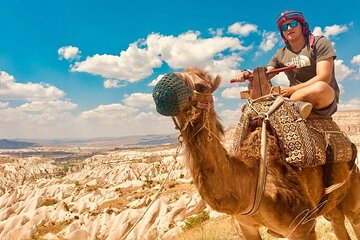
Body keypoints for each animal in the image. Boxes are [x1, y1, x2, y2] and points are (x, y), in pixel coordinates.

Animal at [157, 67, 360, 240]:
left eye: (200, 86)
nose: (162, 87)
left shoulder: (302, 226)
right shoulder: (245, 227)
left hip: (352, 187)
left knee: (353, 216)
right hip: (331, 204)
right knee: (336, 220)